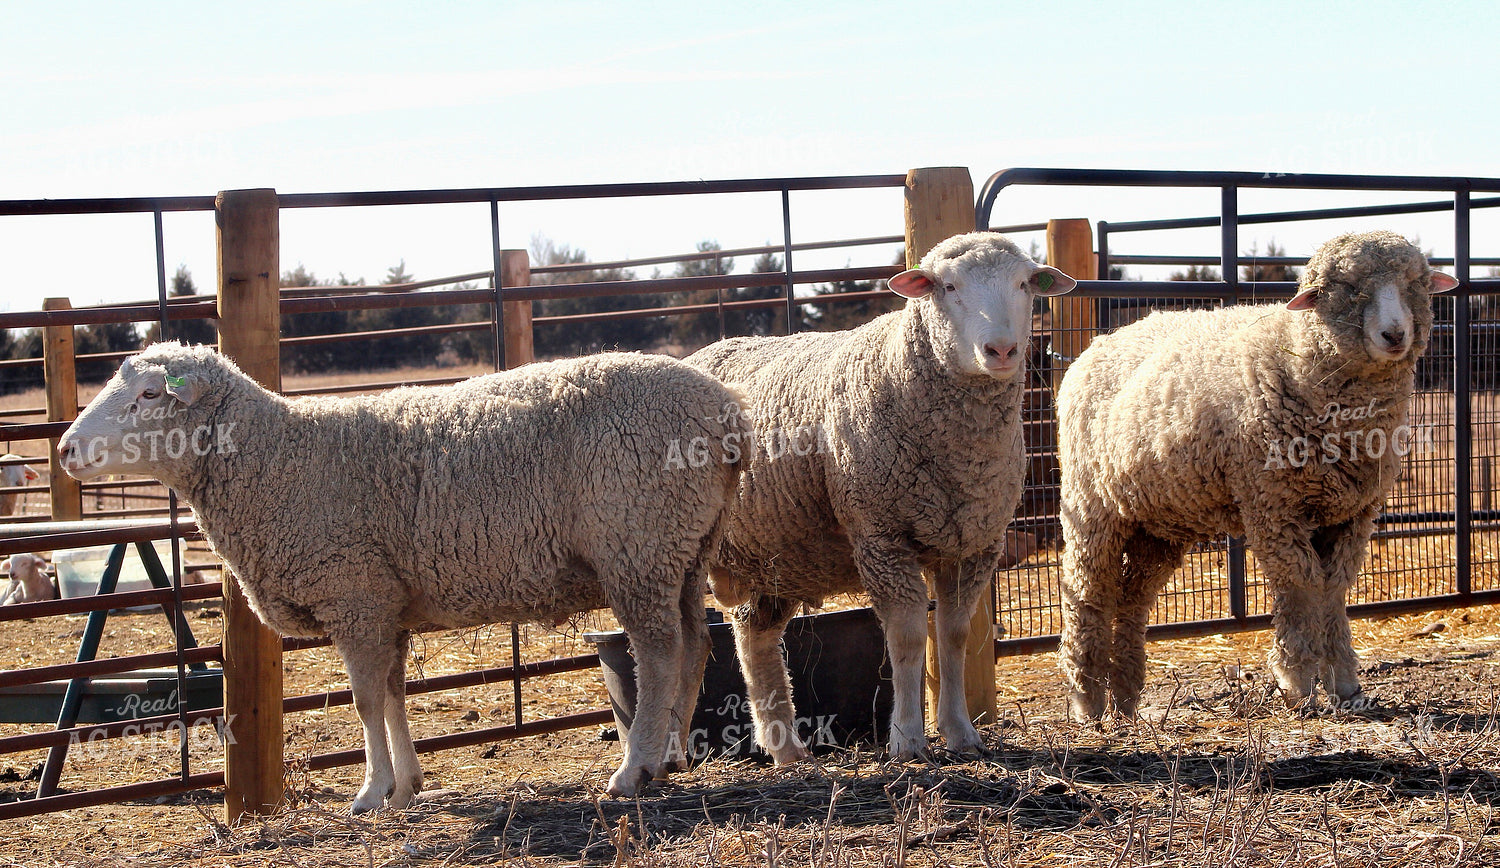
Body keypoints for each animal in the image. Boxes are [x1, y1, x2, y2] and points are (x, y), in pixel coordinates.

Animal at [57, 342, 746, 810]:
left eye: (152, 395)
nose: (64, 449)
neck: (276, 459)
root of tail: (726, 408)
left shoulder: (353, 592)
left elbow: (364, 699)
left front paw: (371, 790)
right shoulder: (384, 603)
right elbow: (391, 693)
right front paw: (407, 784)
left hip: (639, 545)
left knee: (657, 653)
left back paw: (635, 770)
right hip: (685, 548)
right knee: (695, 644)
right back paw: (674, 753)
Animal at [687, 231, 1076, 762]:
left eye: (1024, 284)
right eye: (947, 287)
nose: (1001, 349)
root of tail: (700, 354)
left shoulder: (975, 544)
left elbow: (953, 636)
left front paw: (960, 732)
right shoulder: (881, 537)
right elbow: (908, 639)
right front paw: (908, 739)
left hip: (774, 556)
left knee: (755, 640)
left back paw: (786, 749)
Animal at [1056, 230, 1458, 720]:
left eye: (1416, 281)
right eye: (1346, 286)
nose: (1395, 334)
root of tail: (1098, 345)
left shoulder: (1352, 512)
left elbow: (1334, 587)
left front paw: (1343, 683)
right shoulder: (1273, 506)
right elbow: (1301, 584)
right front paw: (1297, 681)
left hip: (1158, 524)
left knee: (1132, 600)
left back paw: (1126, 698)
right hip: (1090, 507)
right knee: (1088, 595)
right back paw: (1088, 700)